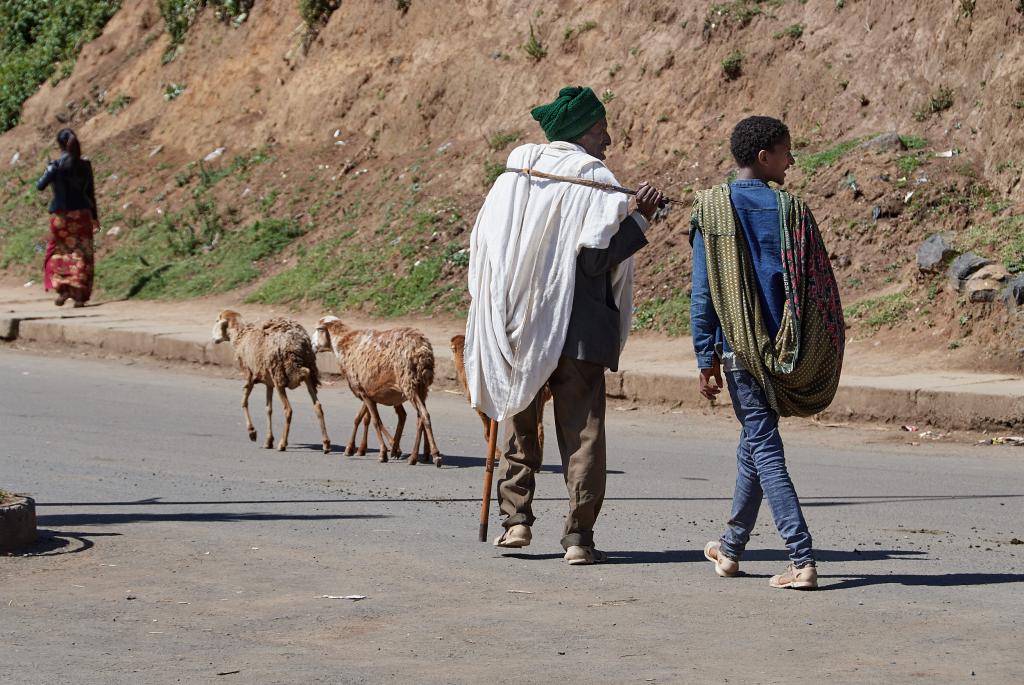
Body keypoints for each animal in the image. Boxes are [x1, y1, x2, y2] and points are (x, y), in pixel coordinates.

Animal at [311, 317, 440, 466]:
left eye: (318, 330)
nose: (311, 344)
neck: (343, 345)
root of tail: (423, 351)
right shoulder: (367, 392)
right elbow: (361, 418)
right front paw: (354, 448)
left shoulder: (364, 392)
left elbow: (375, 421)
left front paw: (383, 452)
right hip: (421, 387)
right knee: (418, 418)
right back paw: (418, 454)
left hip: (409, 384)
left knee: (423, 415)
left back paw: (431, 455)